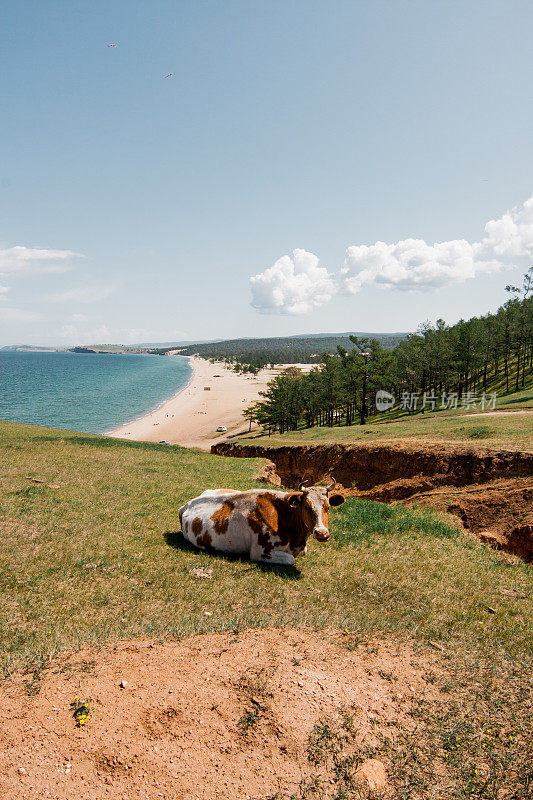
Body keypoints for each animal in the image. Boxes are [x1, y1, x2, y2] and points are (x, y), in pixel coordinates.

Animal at [179, 478, 344, 564]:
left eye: (328, 507)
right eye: (307, 506)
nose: (321, 533)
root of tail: (188, 503)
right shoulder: (259, 552)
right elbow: (291, 559)